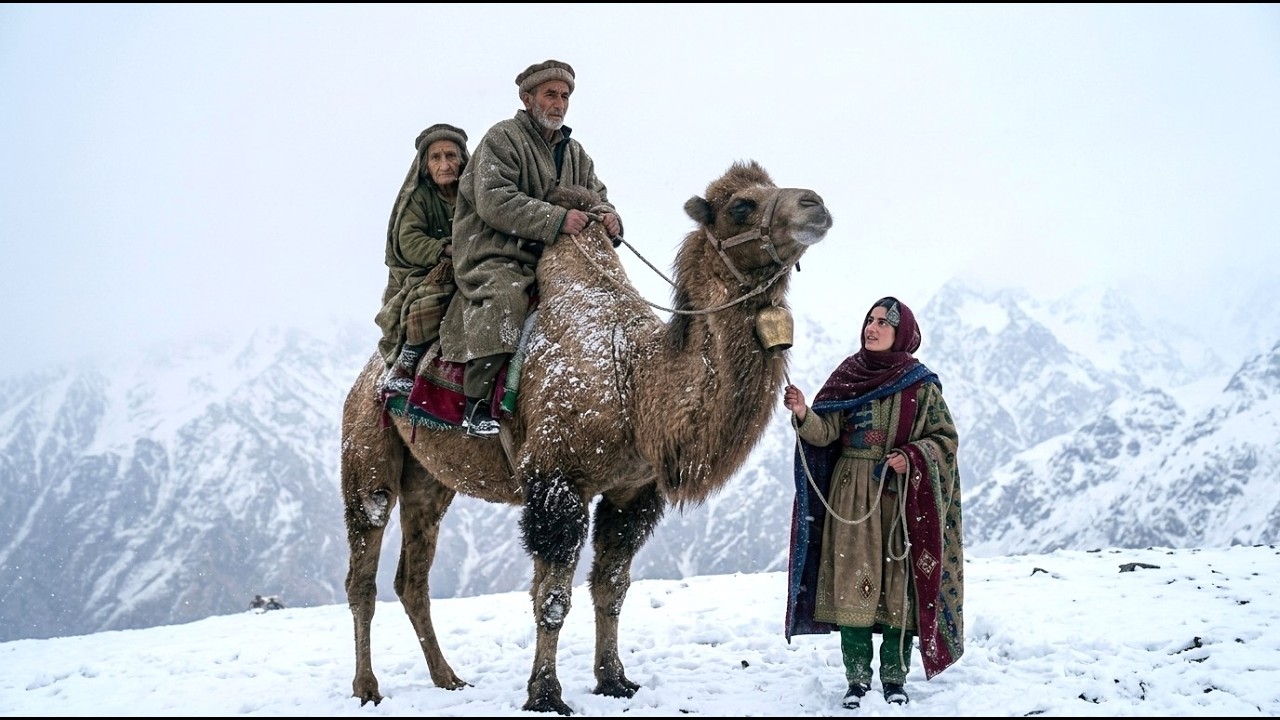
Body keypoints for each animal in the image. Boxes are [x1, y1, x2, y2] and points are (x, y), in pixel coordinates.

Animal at [340, 160, 833, 715]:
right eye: (742, 206)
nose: (815, 204)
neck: (633, 380)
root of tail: (368, 376)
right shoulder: (557, 482)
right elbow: (553, 598)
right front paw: (545, 694)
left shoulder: (632, 492)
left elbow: (612, 589)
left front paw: (615, 679)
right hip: (366, 451)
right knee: (363, 568)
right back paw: (367, 687)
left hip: (429, 480)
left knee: (413, 577)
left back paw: (448, 679)